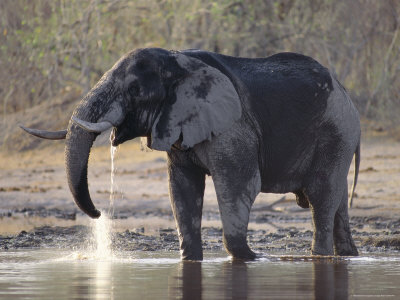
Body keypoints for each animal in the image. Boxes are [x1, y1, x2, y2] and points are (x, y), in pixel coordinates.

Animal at [20, 47, 360, 260]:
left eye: (133, 90)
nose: (99, 214)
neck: (178, 60)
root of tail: (347, 93)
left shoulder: (233, 127)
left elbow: (239, 185)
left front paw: (251, 257)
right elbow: (182, 189)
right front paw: (190, 259)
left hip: (336, 132)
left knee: (321, 196)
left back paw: (318, 257)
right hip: (340, 137)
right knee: (338, 200)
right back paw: (348, 255)